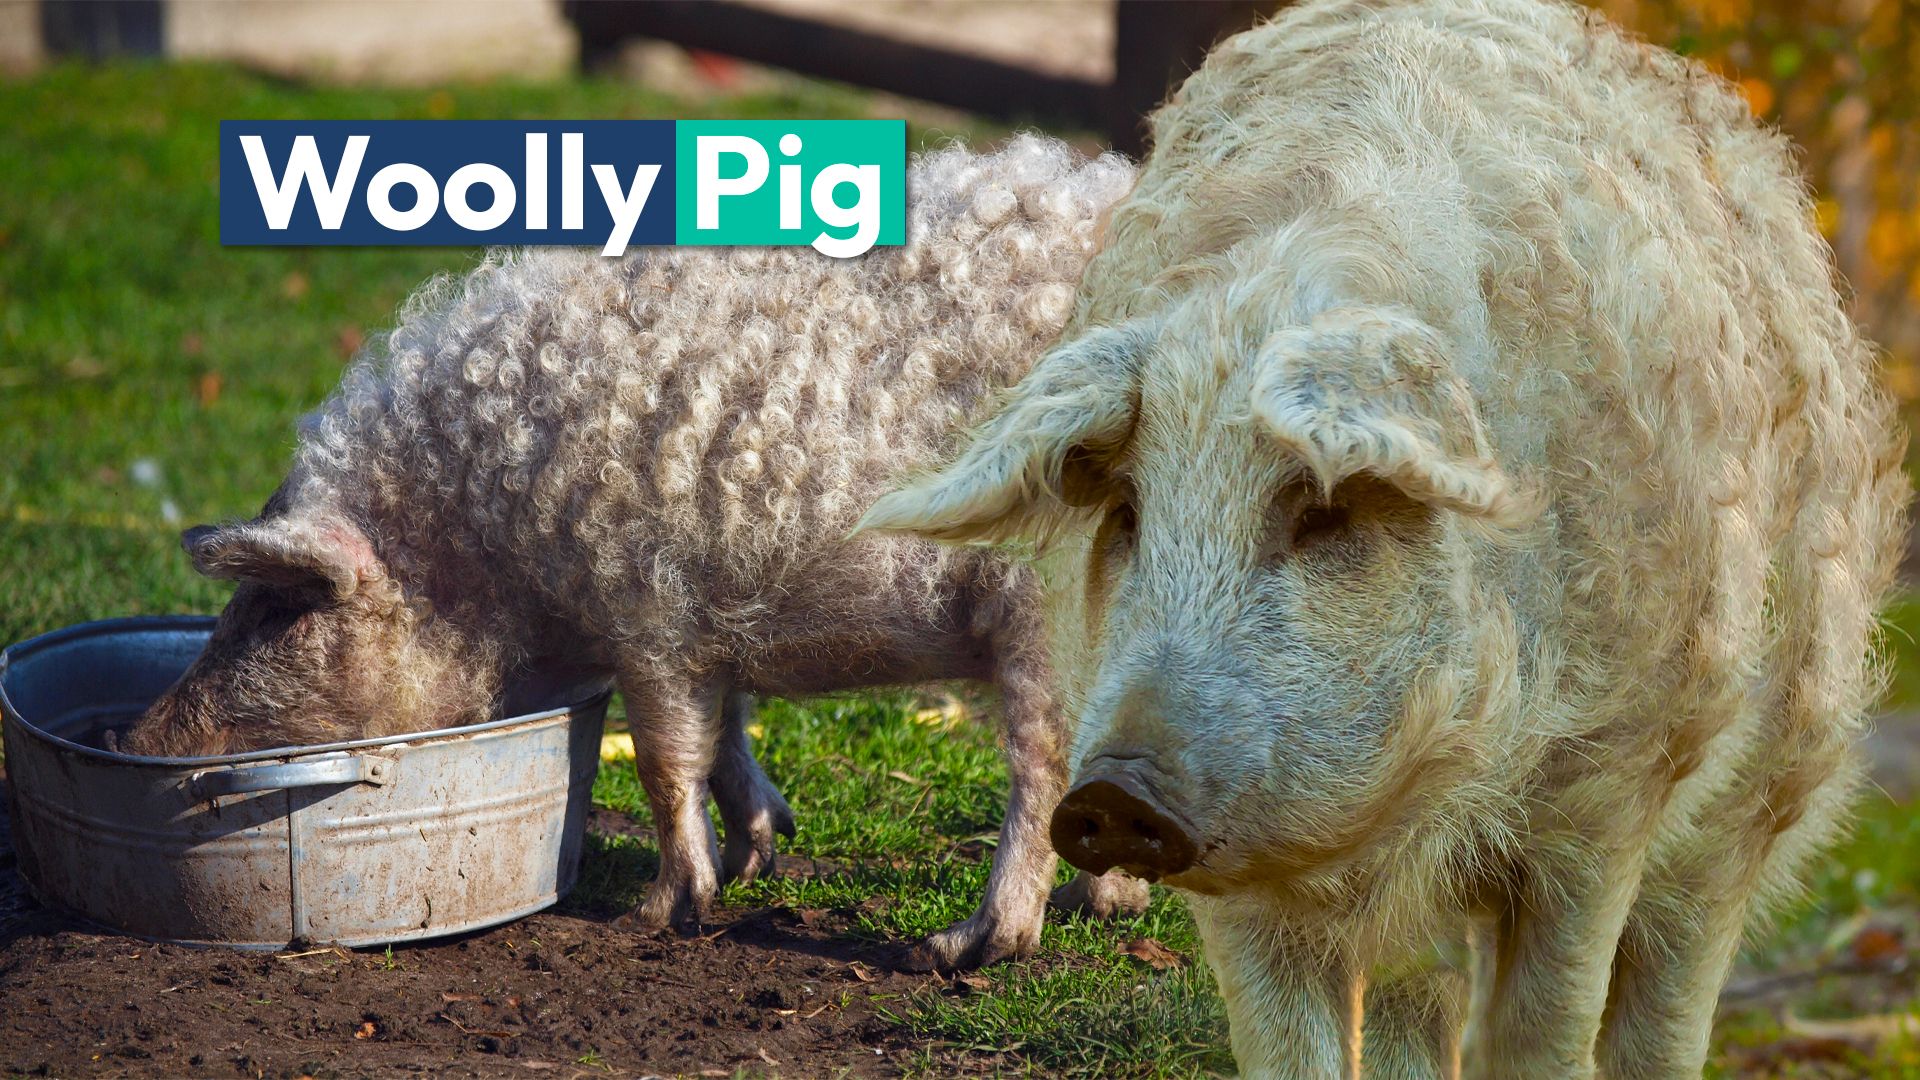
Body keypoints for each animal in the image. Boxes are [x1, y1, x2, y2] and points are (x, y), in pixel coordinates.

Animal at [120, 135, 1147, 971]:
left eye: (279, 607)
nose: (135, 740)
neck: (483, 539)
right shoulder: (711, 603)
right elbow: (728, 733)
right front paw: (758, 855)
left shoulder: (647, 603)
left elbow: (663, 756)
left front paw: (661, 915)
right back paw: (1108, 905)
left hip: (1048, 602)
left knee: (1044, 762)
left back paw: (965, 949)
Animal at [859, 0, 1908, 1073]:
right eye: (1129, 515)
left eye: (1322, 512)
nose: (1112, 795)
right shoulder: (1249, 872)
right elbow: (1291, 1045)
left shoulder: (1610, 791)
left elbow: (1548, 1026)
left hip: (1756, 792)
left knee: (1669, 990)